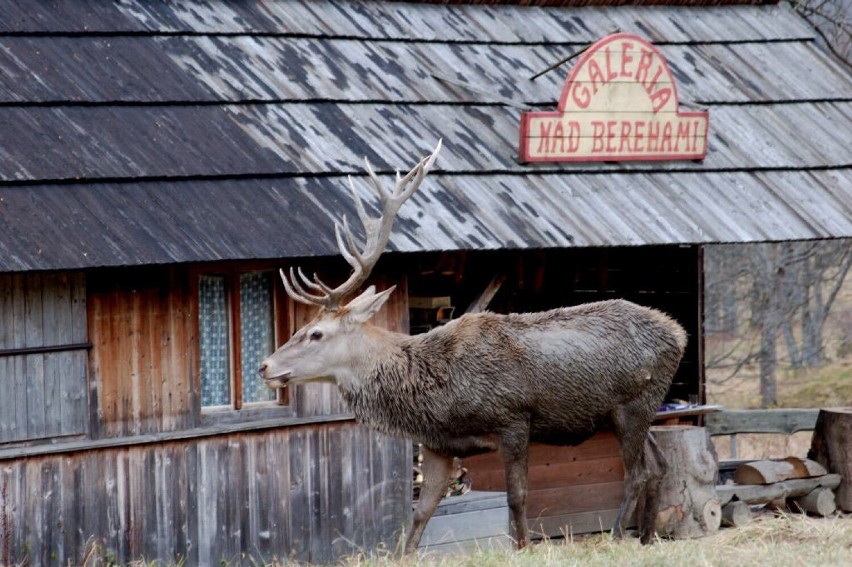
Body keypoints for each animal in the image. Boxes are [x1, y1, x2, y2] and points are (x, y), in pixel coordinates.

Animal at [258, 141, 684, 556]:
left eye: (316, 333)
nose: (264, 366)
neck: (439, 395)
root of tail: (679, 334)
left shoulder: (514, 418)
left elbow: (517, 497)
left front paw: (522, 549)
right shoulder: (437, 444)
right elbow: (421, 512)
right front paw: (406, 555)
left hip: (633, 404)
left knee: (637, 472)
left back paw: (617, 536)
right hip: (633, 413)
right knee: (660, 465)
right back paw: (647, 538)